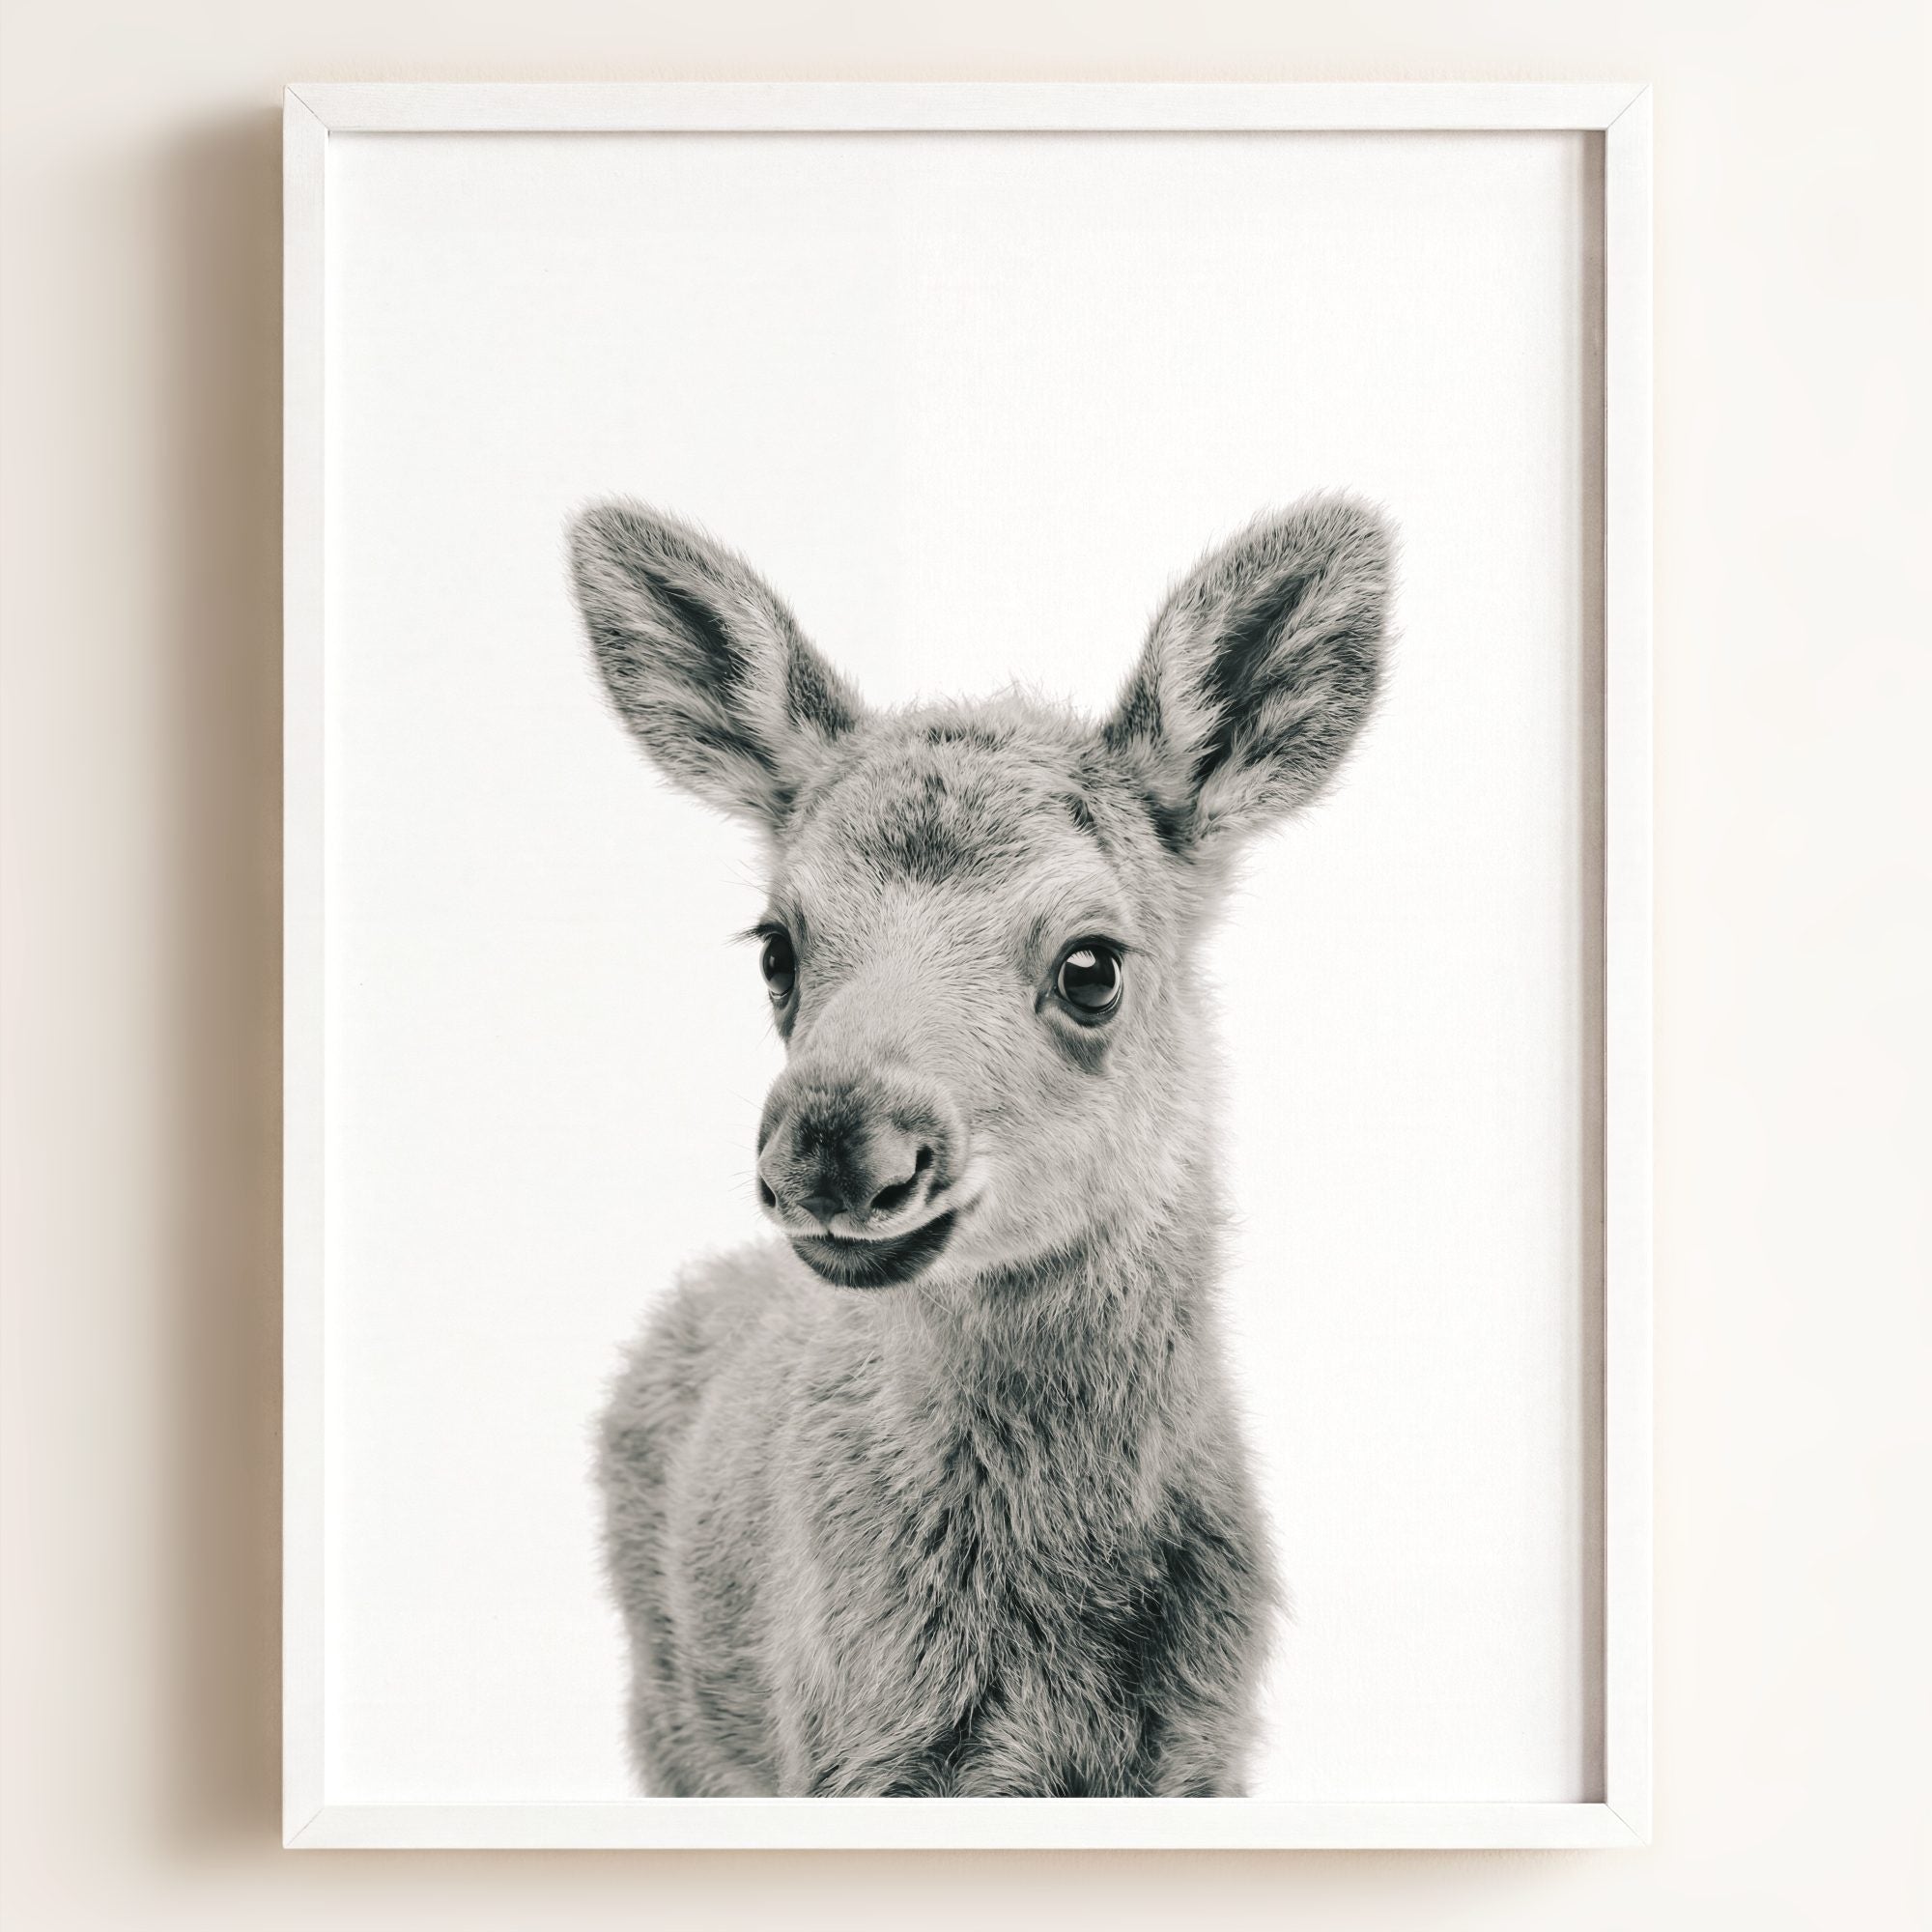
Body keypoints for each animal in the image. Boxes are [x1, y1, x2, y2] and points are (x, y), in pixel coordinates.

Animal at [568, 493, 1394, 1797]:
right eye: (777, 946)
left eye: (1091, 964)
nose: (834, 1143)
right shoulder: (847, 1751)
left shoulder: (1203, 1750)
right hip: (671, 1719)